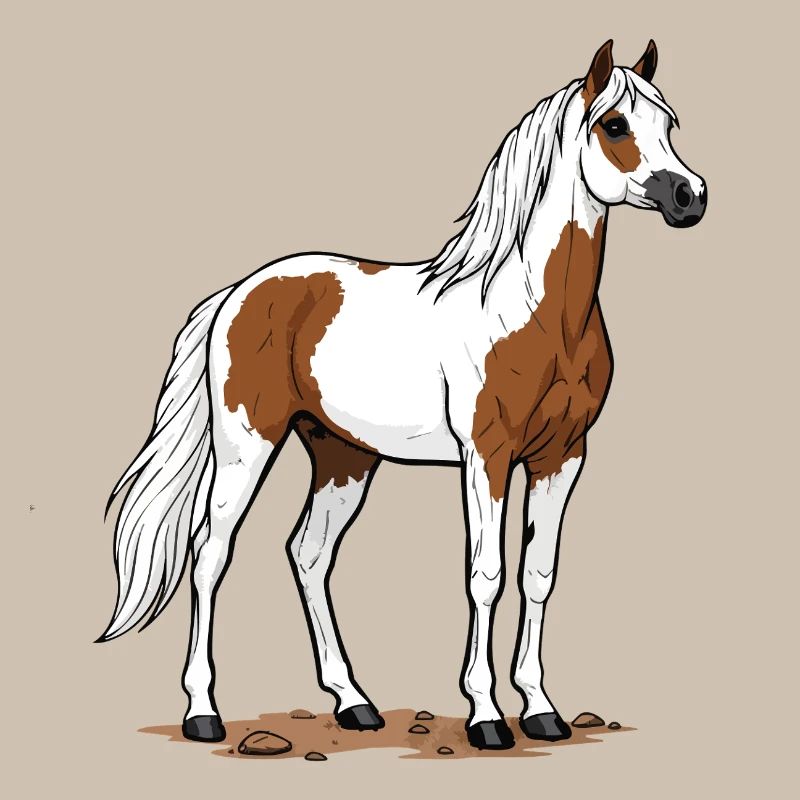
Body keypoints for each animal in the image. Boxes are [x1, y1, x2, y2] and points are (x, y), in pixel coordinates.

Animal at [99, 39, 706, 751]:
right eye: (614, 125)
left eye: (669, 124)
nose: (690, 197)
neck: (534, 312)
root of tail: (240, 292)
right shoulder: (486, 456)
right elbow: (486, 576)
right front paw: (486, 716)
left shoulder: (563, 456)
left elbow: (538, 575)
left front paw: (541, 709)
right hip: (247, 444)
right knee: (210, 554)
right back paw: (203, 713)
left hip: (343, 457)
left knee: (308, 554)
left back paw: (353, 703)